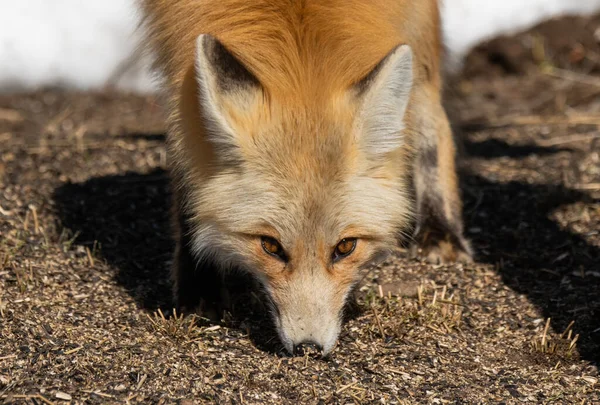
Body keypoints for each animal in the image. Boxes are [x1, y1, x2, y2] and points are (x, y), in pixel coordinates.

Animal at [139, 0, 474, 354]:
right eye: (270, 246)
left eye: (346, 247)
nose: (309, 348)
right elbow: (187, 168)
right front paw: (199, 284)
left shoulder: (415, 15)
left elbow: (426, 121)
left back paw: (441, 231)